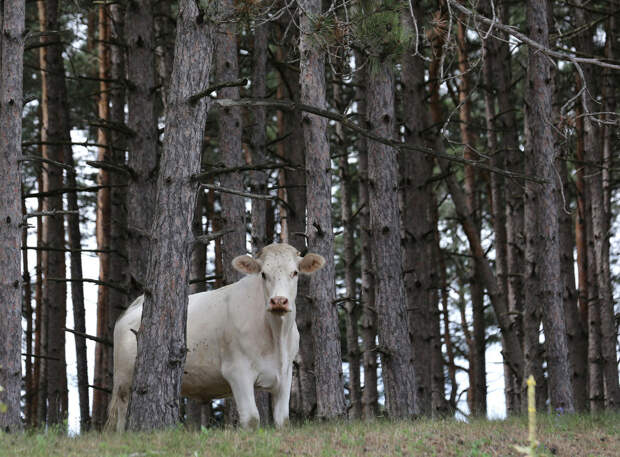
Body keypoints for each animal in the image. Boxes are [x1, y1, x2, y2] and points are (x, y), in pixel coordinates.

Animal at [104, 244, 324, 430]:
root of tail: (135, 305)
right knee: (121, 418)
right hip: (124, 381)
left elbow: (282, 421)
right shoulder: (237, 371)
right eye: (263, 274)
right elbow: (252, 419)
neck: (276, 337)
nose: (279, 301)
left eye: (295, 272)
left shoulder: (285, 374)